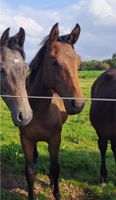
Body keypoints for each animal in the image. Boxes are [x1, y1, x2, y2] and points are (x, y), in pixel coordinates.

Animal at [19, 22, 84, 199]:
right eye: (54, 62)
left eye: (79, 63)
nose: (78, 104)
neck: (39, 110)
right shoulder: (25, 140)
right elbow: (30, 172)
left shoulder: (55, 139)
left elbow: (55, 168)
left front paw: (57, 192)